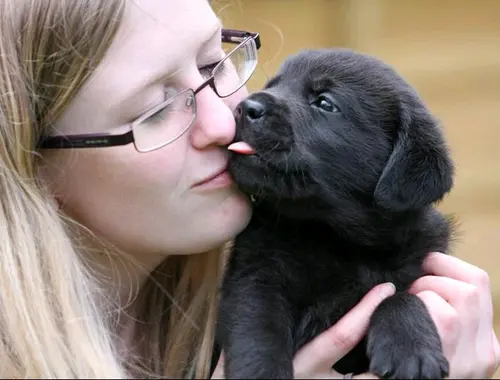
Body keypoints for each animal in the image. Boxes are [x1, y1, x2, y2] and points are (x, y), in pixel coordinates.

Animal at [217, 48, 456, 380]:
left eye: (325, 103)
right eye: (274, 84)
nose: (244, 107)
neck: (333, 237)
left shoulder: (418, 267)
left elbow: (398, 294)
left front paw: (412, 350)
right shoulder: (255, 277)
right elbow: (257, 331)